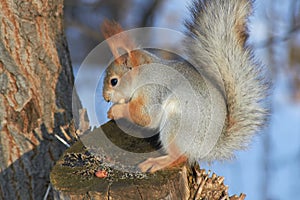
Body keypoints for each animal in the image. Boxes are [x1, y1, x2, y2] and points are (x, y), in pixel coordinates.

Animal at [101, 0, 270, 173]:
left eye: (114, 81)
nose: (106, 98)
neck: (143, 73)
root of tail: (210, 147)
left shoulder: (152, 91)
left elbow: (145, 117)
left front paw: (116, 110)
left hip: (176, 124)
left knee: (180, 156)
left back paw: (157, 162)